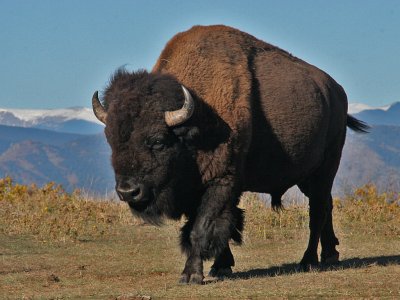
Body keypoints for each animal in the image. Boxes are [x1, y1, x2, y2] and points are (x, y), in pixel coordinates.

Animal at [92, 24, 368, 284]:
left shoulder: (222, 180)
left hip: (326, 167)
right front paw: (221, 266)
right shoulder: (199, 188)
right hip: (306, 177)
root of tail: (336, 91)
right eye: (111, 140)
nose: (128, 192)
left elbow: (200, 228)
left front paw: (191, 275)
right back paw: (330, 255)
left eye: (158, 141)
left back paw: (308, 261)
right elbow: (218, 225)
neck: (198, 119)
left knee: (317, 210)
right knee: (326, 204)